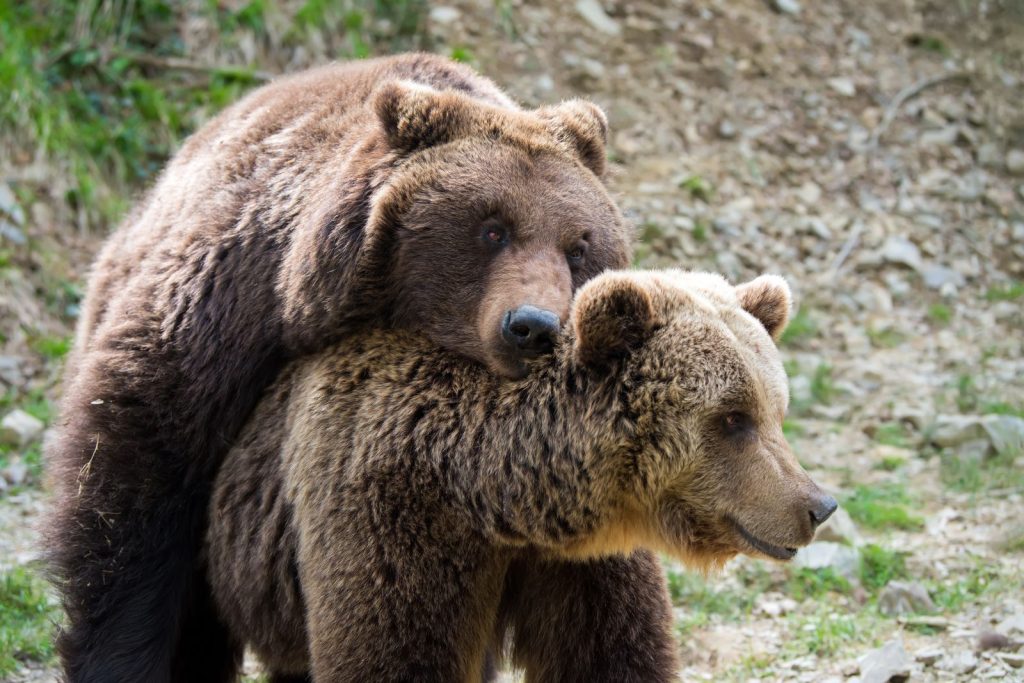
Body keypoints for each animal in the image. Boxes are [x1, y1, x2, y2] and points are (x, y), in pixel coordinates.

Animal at [49, 54, 638, 683]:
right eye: (492, 228)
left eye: (578, 246)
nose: (533, 326)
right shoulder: (227, 300)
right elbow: (136, 473)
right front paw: (119, 658)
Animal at [203, 270, 835, 679]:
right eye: (733, 418)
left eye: (775, 411)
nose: (818, 505)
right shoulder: (386, 517)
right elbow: (391, 653)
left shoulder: (581, 566)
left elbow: (609, 654)